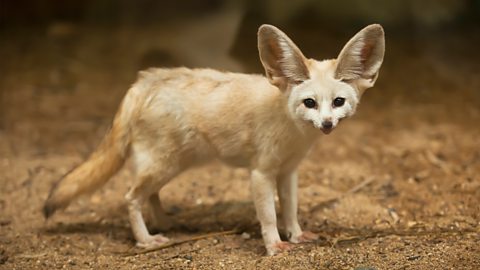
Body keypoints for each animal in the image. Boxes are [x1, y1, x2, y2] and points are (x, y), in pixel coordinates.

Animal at [44, 23, 382, 255]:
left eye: (338, 102)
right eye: (309, 103)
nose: (326, 124)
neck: (294, 133)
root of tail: (142, 82)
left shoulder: (289, 171)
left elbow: (290, 209)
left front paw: (297, 235)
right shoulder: (261, 172)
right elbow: (269, 215)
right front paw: (274, 246)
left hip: (171, 165)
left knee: (149, 195)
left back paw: (164, 222)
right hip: (164, 165)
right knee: (131, 197)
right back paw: (146, 239)